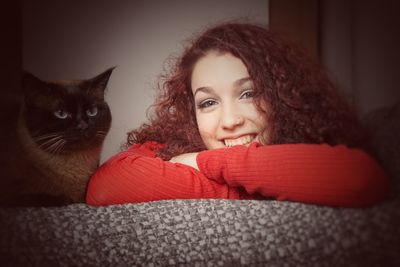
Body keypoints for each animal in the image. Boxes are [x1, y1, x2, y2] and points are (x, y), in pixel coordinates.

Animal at [0, 67, 114, 207]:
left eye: (92, 112)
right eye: (61, 113)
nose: (82, 126)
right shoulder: (10, 195)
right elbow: (45, 198)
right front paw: (65, 199)